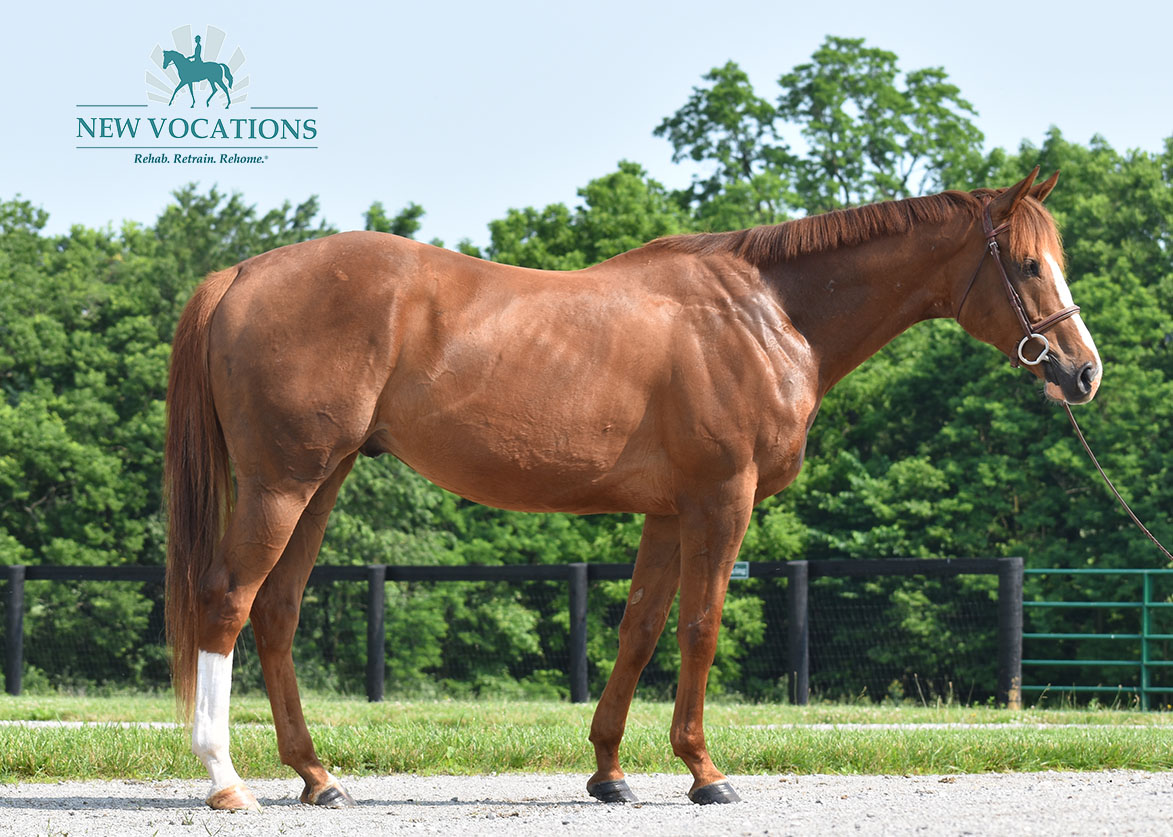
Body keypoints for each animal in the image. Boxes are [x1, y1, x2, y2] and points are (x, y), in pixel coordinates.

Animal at [163, 169, 1097, 806]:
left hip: (320, 482)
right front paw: (704, 770)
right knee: (226, 600)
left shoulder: (666, 512)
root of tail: (240, 275)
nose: (1082, 372)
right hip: (283, 485)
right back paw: (225, 779)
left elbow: (640, 628)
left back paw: (316, 774)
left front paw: (609, 770)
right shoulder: (721, 499)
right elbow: (699, 626)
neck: (767, 315)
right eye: (1026, 265)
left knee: (276, 611)